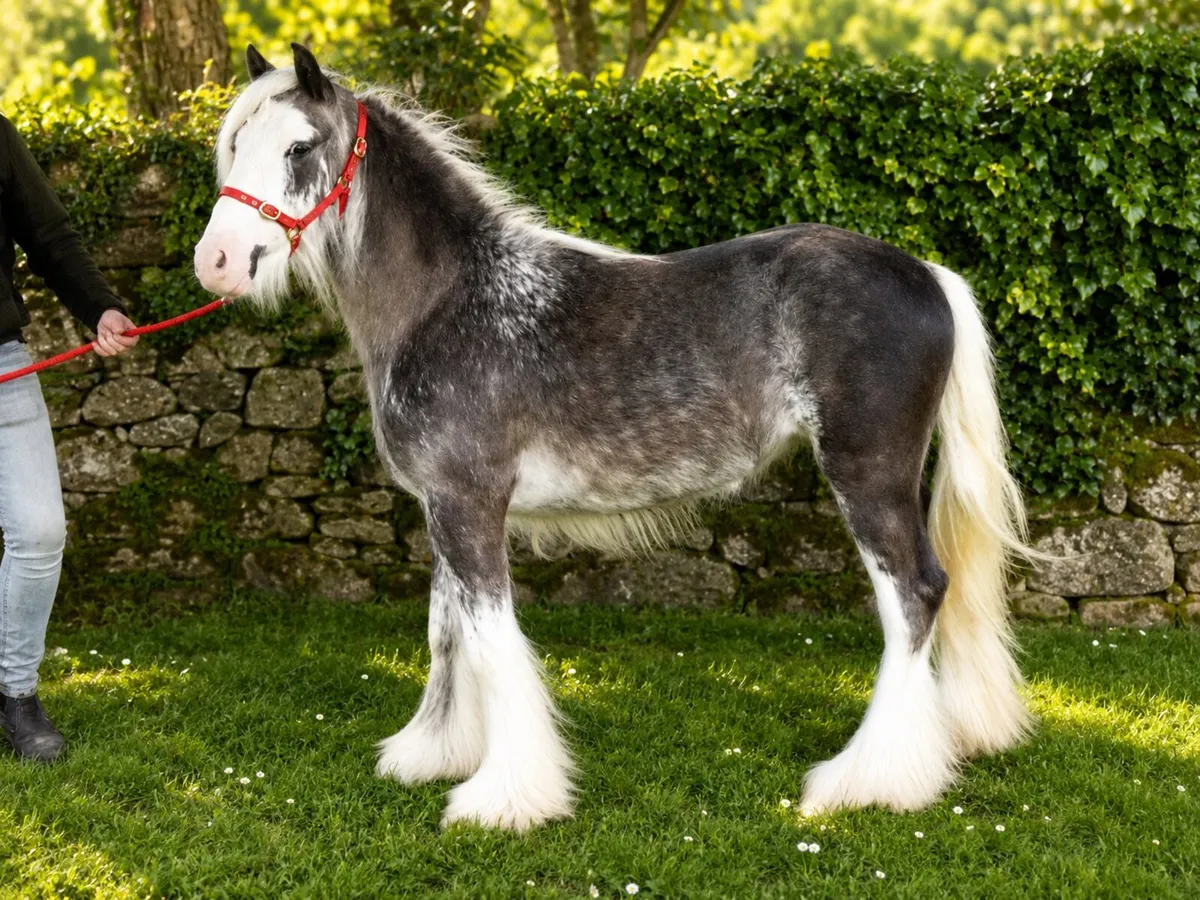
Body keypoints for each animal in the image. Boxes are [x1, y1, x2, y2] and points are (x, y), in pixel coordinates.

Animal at [194, 42, 1035, 832]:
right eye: (236, 143)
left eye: (300, 147)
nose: (217, 261)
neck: (452, 301)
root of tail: (928, 275)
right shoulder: (443, 509)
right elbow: (447, 635)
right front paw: (432, 754)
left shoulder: (470, 506)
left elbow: (491, 644)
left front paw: (505, 798)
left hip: (869, 477)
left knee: (914, 599)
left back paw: (871, 780)